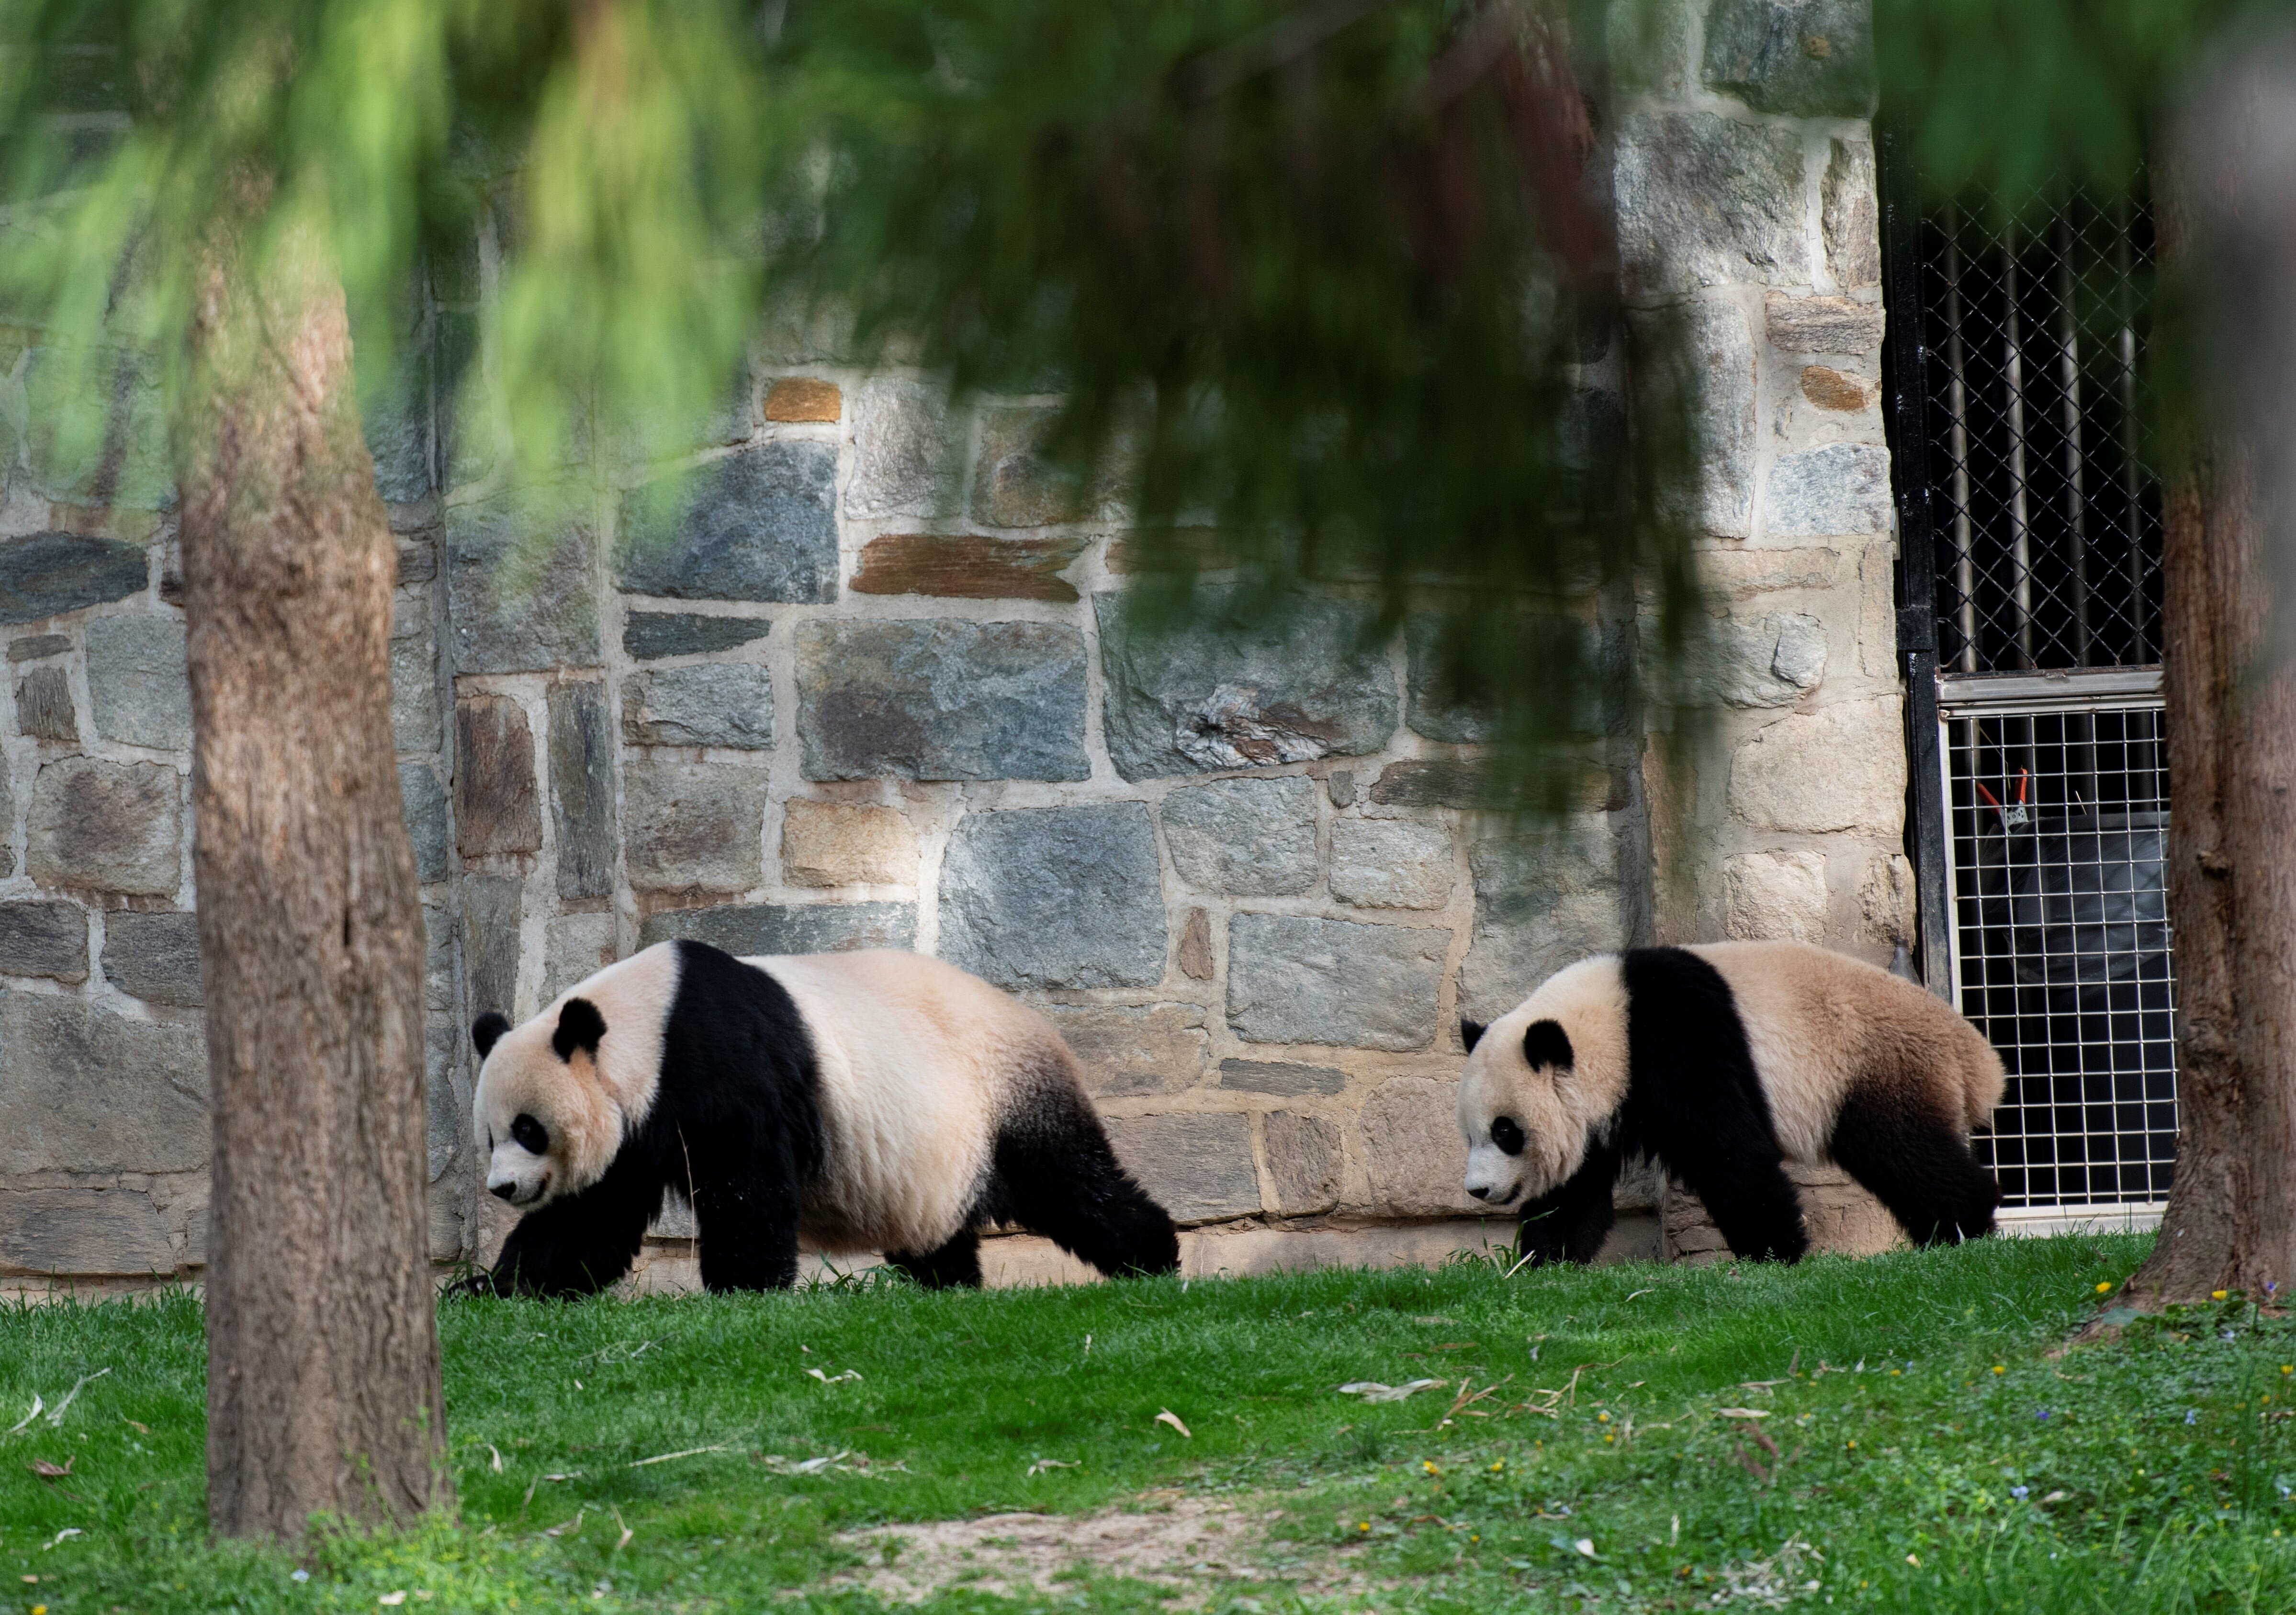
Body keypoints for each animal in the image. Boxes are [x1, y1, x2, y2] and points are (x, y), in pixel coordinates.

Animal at [463, 939, 1180, 1296]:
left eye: (529, 1129)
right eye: (492, 1135)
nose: (503, 1188)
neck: (646, 1025)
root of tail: (1040, 1022)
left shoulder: (721, 1066)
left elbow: (746, 1186)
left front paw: (744, 1290)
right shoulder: (635, 1129)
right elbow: (587, 1220)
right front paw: (490, 1290)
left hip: (1002, 1093)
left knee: (1071, 1182)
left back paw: (1156, 1258)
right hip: (936, 1148)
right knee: (941, 1229)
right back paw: (950, 1286)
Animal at [1456, 941, 2006, 1265]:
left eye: (1505, 1131)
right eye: (1471, 1134)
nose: (1478, 1190)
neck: (1612, 1022)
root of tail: (1976, 1058)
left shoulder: (1679, 1040)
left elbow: (1728, 1152)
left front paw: (1775, 1252)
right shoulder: (1603, 1107)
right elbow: (1574, 1189)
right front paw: (1541, 1262)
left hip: (1877, 1063)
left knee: (1905, 1153)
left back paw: (1964, 1227)